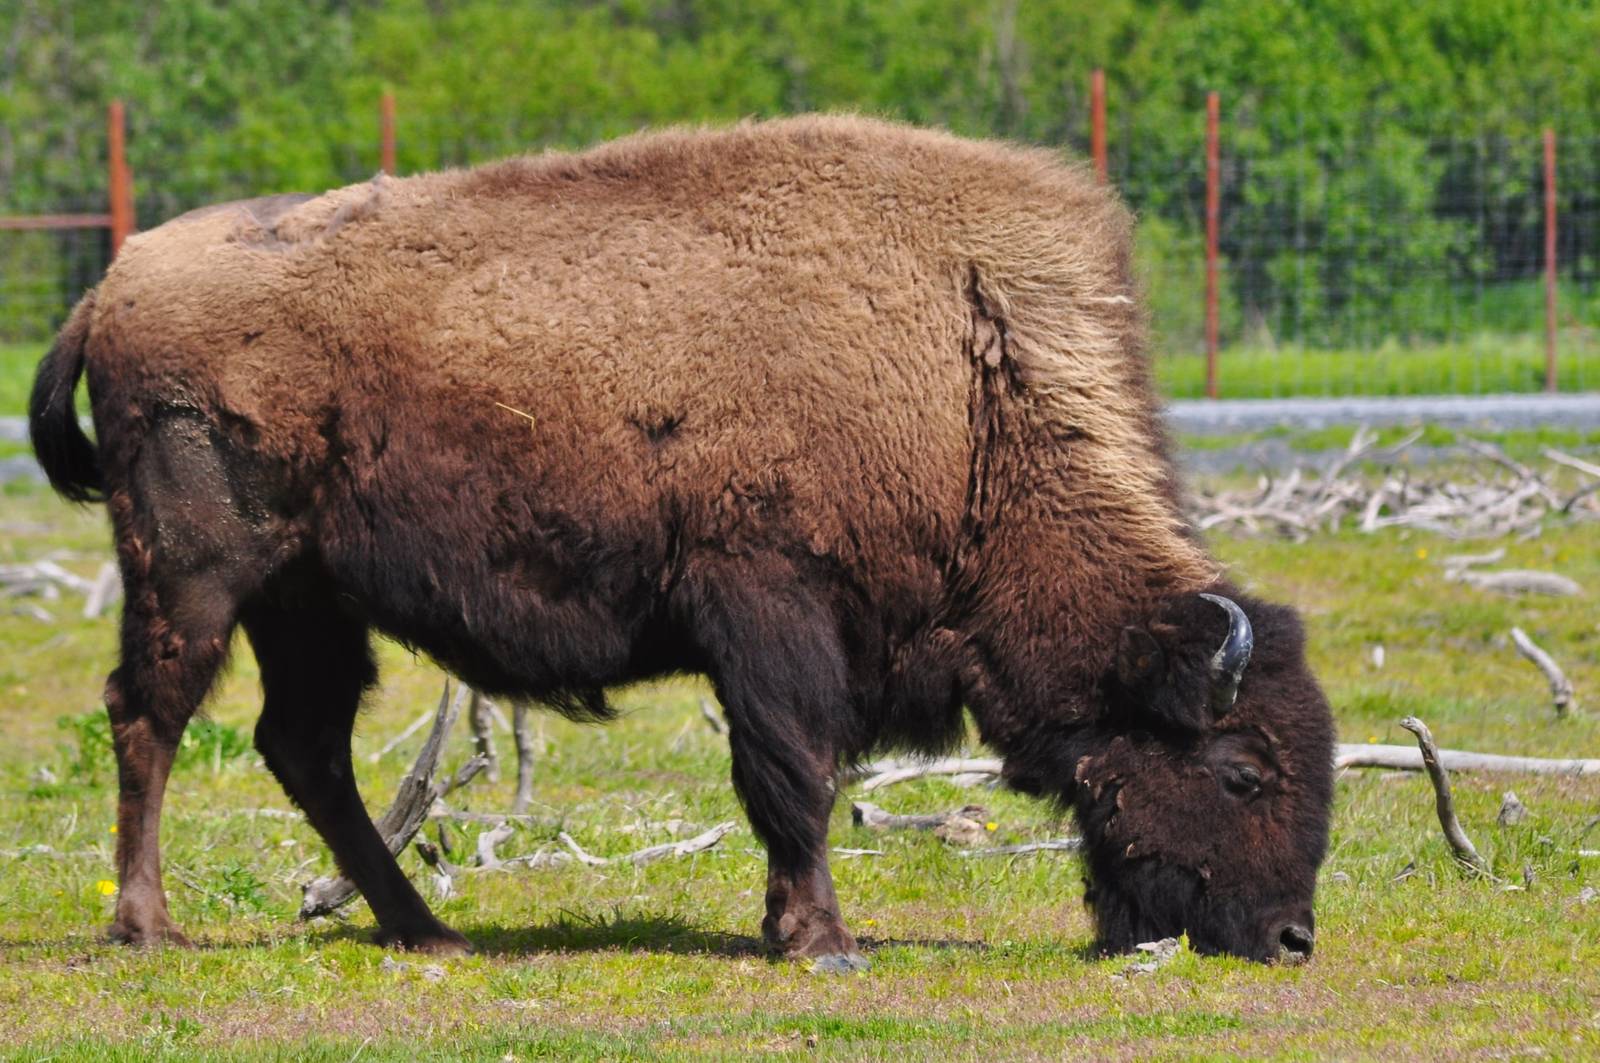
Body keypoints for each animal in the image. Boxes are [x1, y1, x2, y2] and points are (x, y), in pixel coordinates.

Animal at [29, 116, 1334, 969]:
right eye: (1241, 770)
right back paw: (146, 926)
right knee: (149, 718)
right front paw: (821, 942)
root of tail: (114, 281)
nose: (1290, 935)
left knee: (303, 745)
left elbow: (790, 780)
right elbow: (793, 776)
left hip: (307, 599)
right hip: (196, 574)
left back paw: (427, 928)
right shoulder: (769, 610)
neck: (968, 371)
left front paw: (790, 929)